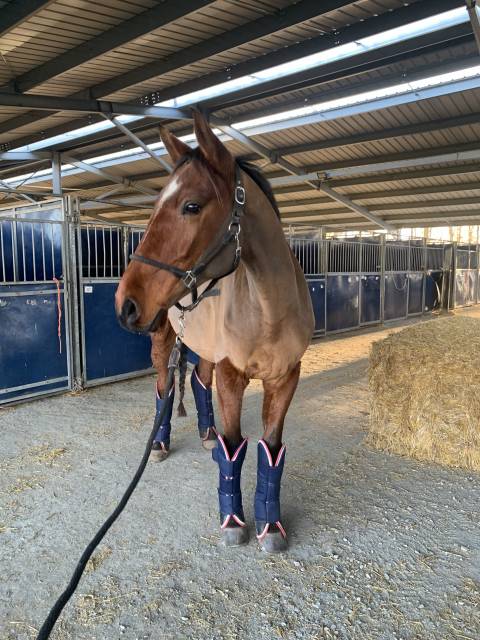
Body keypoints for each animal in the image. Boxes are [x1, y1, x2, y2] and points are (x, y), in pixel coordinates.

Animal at [115, 111, 314, 552]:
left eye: (191, 205)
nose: (125, 303)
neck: (268, 309)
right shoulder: (232, 375)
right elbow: (234, 449)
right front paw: (233, 522)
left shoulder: (285, 378)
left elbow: (271, 450)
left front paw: (271, 527)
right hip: (163, 340)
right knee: (165, 387)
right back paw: (160, 444)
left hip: (204, 347)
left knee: (198, 382)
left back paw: (207, 435)